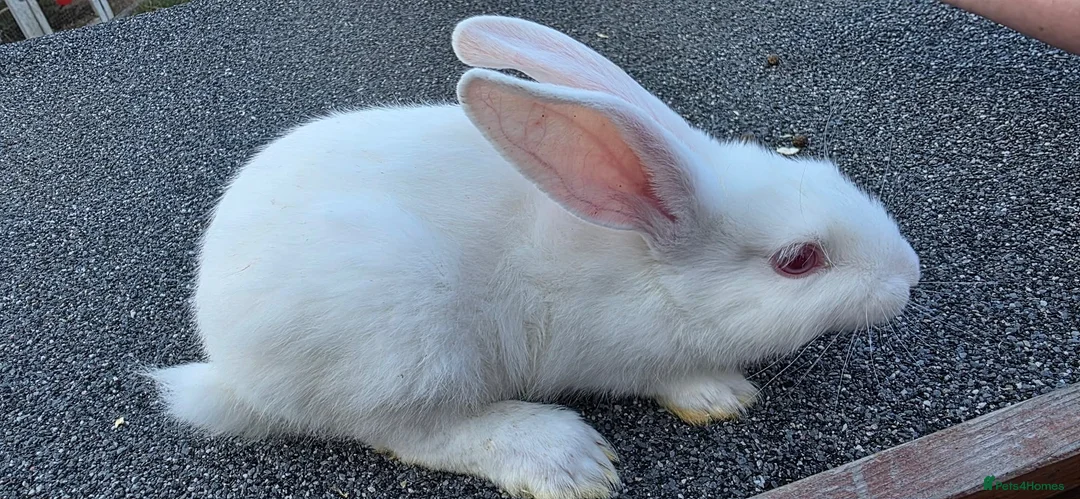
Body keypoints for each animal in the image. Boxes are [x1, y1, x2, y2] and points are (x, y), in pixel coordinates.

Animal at [148, 15, 921, 499]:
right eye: (798, 260)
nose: (907, 278)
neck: (651, 264)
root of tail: (231, 368)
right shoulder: (618, 352)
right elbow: (667, 375)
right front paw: (720, 394)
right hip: (407, 343)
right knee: (408, 432)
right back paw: (564, 458)